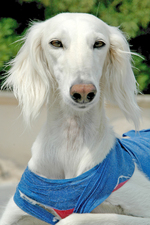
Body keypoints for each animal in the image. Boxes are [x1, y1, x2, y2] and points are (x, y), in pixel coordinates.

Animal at [0, 13, 150, 225]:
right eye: (56, 43)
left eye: (99, 43)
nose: (84, 92)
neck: (71, 146)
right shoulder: (16, 209)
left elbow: (73, 218)